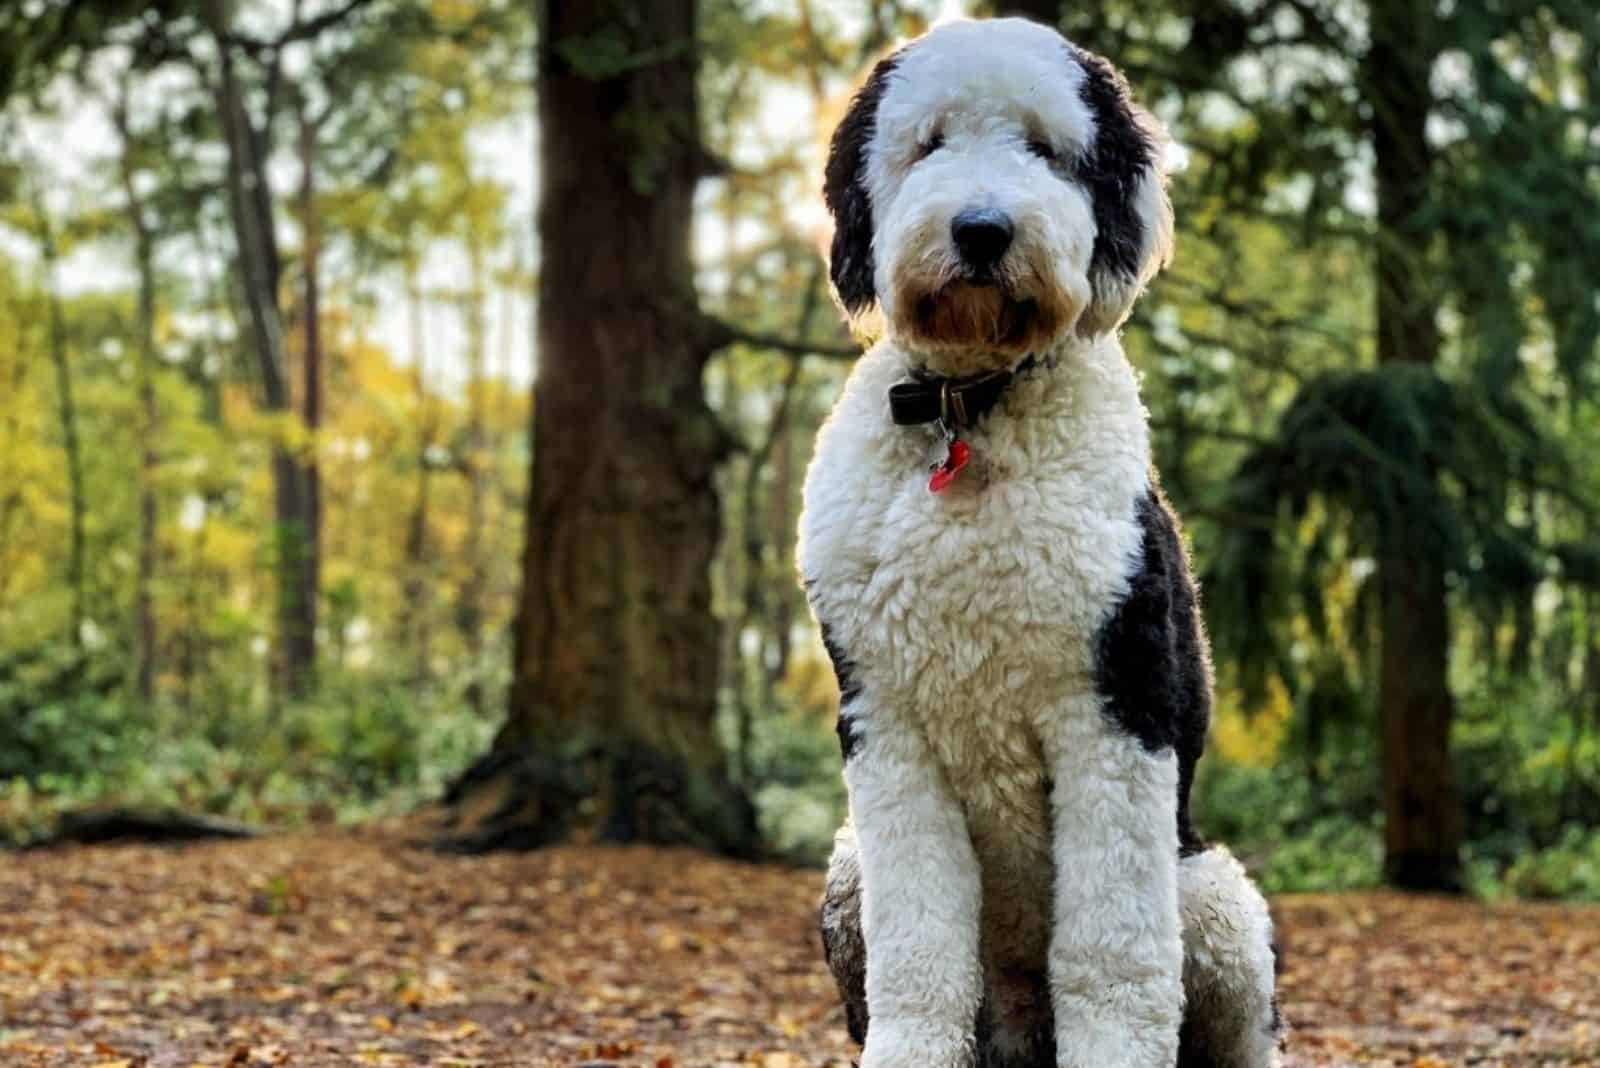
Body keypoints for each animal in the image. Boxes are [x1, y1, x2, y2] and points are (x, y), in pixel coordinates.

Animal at [800, 16, 1286, 1068]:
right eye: (929, 142)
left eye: (1047, 148)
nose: (982, 229)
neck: (970, 407)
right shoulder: (887, 723)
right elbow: (919, 953)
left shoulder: (1113, 704)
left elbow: (1112, 951)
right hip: (849, 868)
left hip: (1214, 896)